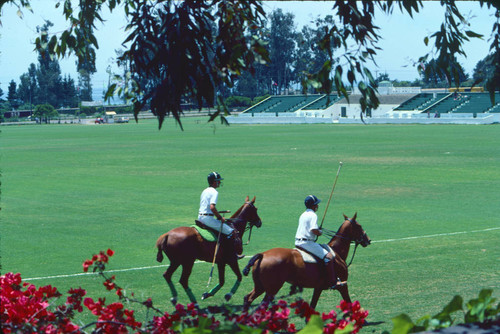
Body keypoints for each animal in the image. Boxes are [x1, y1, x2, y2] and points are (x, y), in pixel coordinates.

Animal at [242, 213, 372, 310]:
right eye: (359, 226)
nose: (368, 240)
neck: (337, 251)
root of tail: (262, 255)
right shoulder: (343, 285)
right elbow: (349, 302)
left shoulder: (318, 288)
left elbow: (313, 306)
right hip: (272, 288)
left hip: (260, 286)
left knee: (248, 298)